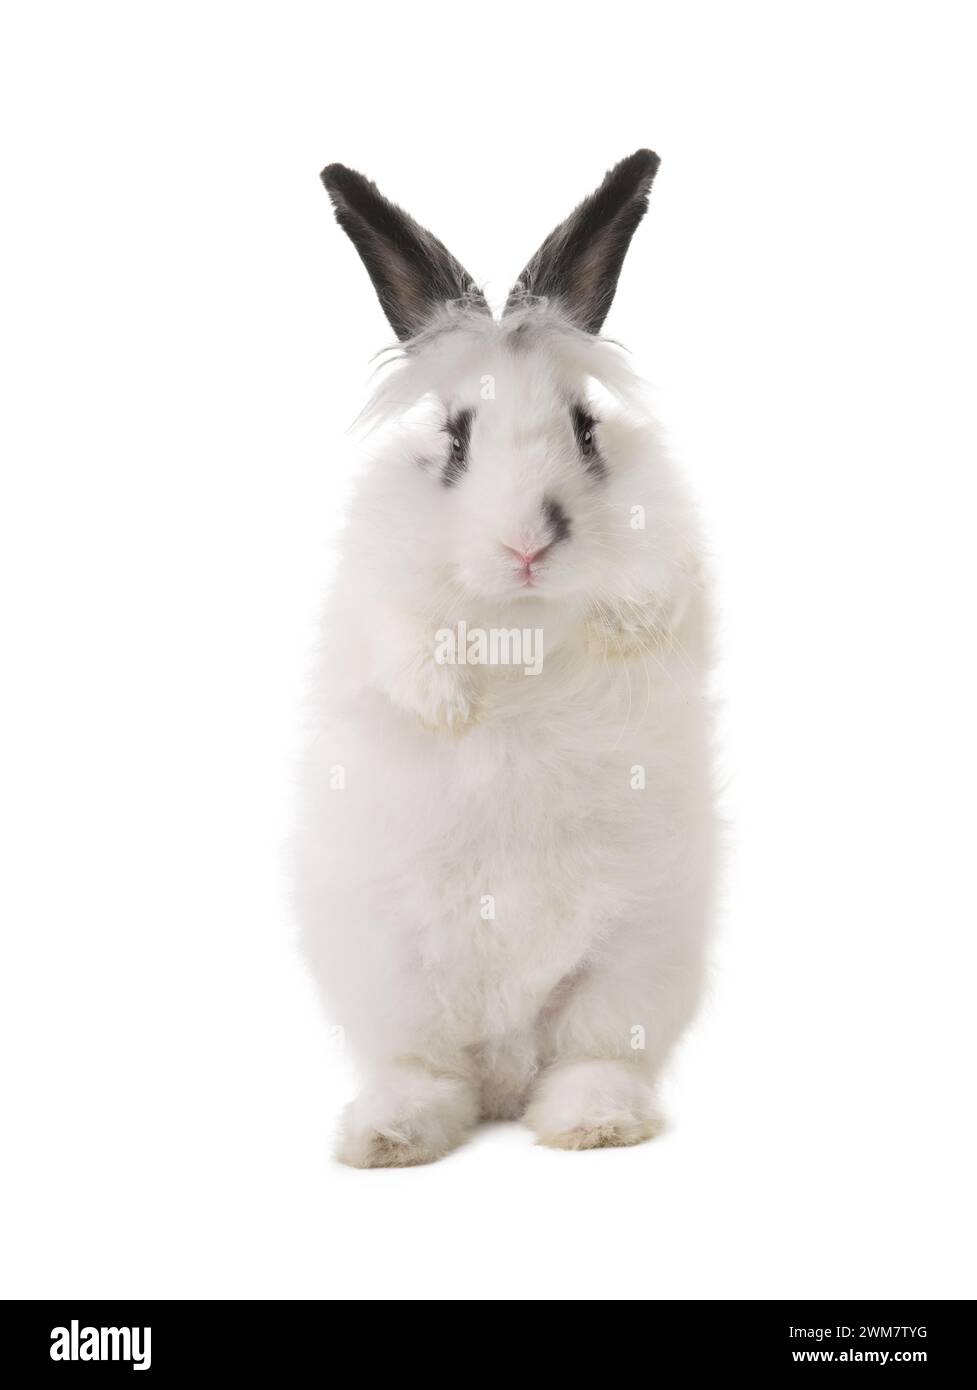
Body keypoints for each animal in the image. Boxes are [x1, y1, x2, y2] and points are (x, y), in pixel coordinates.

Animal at [296, 150, 717, 1166]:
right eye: (455, 439)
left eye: (585, 431)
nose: (527, 546)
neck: (518, 619)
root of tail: (504, 1070)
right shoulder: (376, 592)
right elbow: (402, 637)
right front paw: (452, 708)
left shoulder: (673, 556)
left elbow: (653, 597)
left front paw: (618, 628)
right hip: (394, 979)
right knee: (429, 1074)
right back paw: (388, 1134)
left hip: (628, 968)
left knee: (588, 1060)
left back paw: (593, 1123)